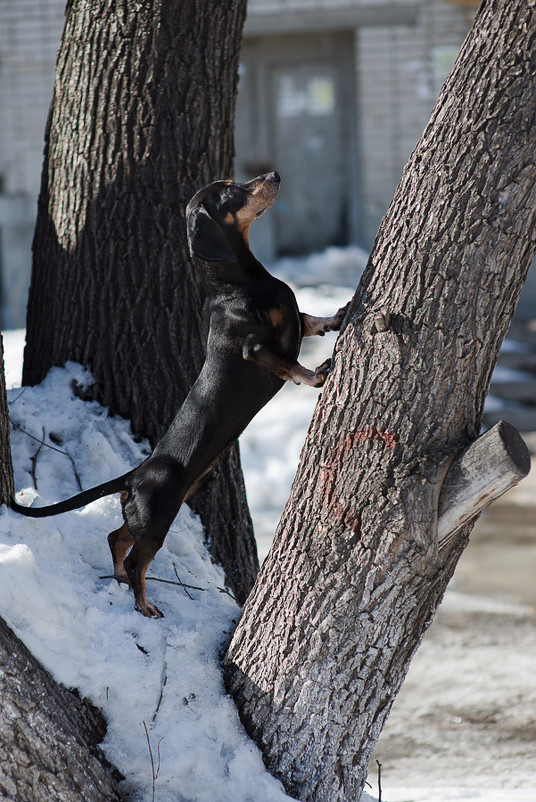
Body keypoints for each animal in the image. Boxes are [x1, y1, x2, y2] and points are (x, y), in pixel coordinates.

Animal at [12, 172, 350, 616]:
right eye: (231, 190)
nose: (274, 175)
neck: (239, 283)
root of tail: (135, 474)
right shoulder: (256, 348)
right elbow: (288, 364)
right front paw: (315, 375)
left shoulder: (293, 321)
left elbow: (310, 320)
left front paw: (338, 316)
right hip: (159, 516)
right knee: (136, 556)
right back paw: (143, 604)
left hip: (153, 513)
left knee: (116, 539)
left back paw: (121, 582)